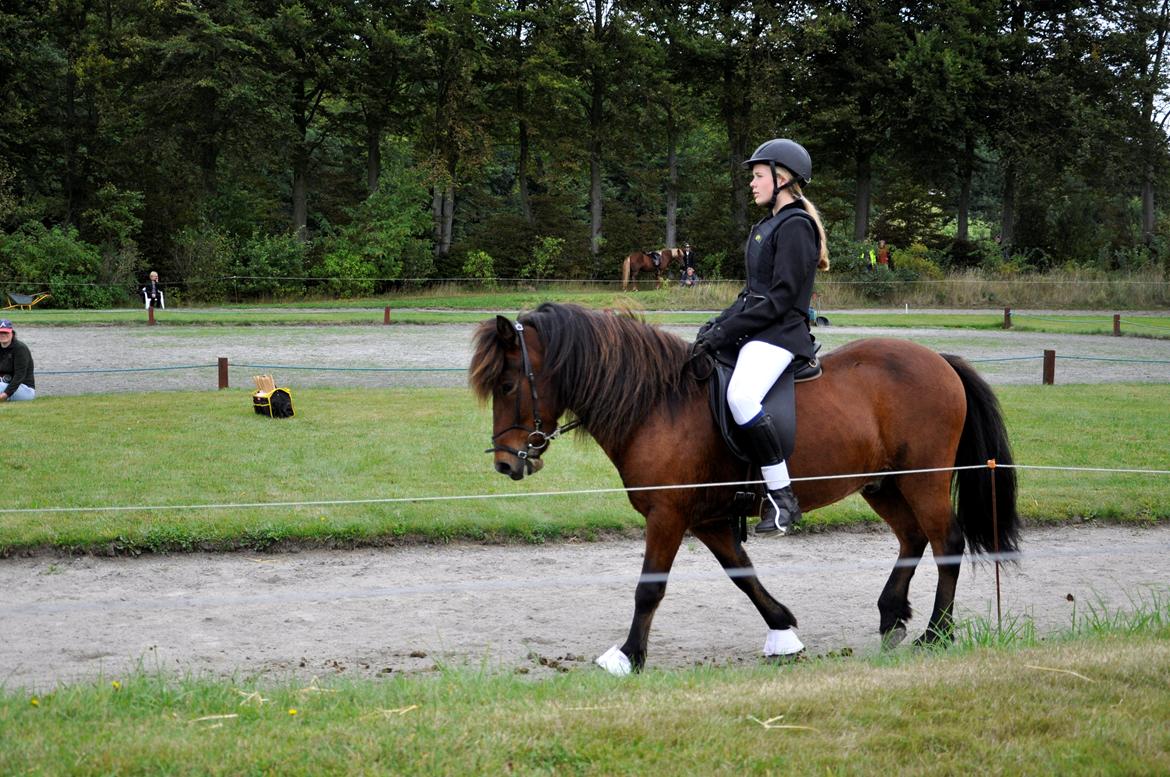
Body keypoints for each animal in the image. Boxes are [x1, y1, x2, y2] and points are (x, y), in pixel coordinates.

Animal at [469, 303, 1019, 674]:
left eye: (508, 385)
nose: (504, 463)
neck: (658, 404)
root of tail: (938, 360)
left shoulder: (667, 515)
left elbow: (649, 589)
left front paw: (628, 656)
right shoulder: (708, 519)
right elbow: (743, 575)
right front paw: (783, 630)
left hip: (923, 478)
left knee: (945, 542)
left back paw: (937, 633)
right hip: (882, 485)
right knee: (912, 537)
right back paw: (892, 618)